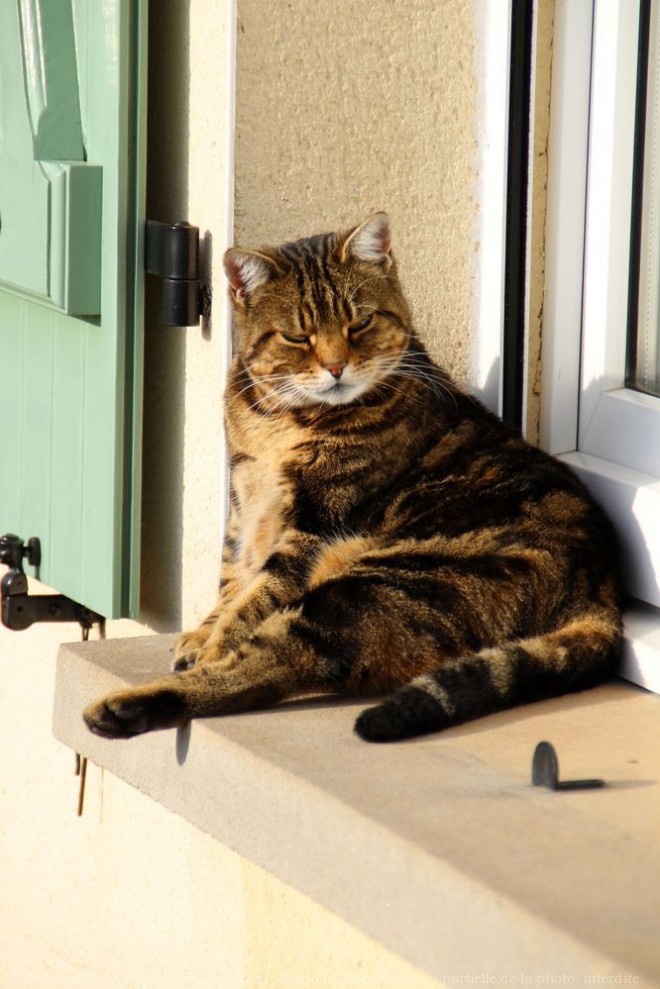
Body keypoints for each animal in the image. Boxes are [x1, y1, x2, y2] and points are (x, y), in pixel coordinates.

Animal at [81, 216, 620, 740]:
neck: (278, 421)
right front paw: (202, 633)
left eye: (359, 322)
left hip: (376, 583)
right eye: (298, 336)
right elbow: (233, 575)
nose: (336, 366)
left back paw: (124, 707)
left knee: (276, 664)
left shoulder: (314, 524)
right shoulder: (243, 501)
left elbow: (256, 594)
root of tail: (601, 595)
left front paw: (215, 643)